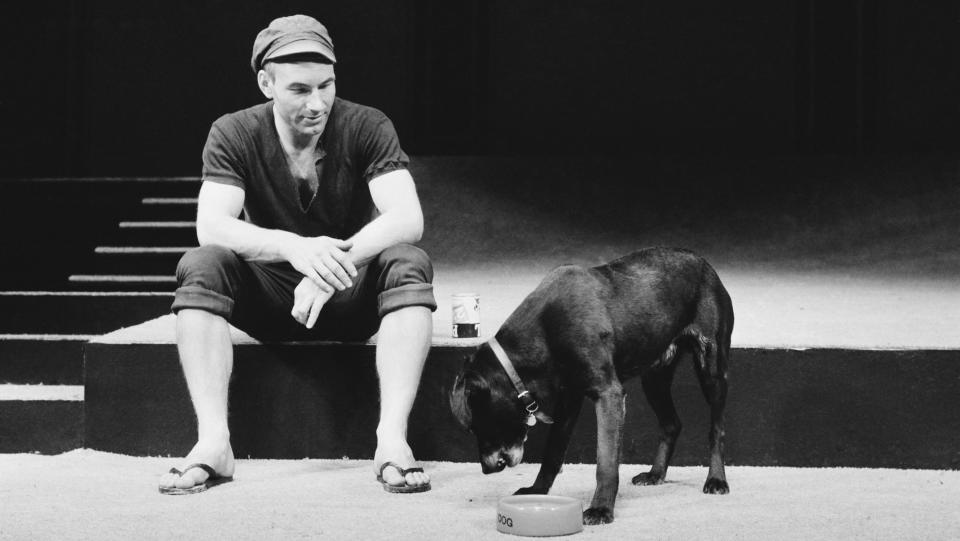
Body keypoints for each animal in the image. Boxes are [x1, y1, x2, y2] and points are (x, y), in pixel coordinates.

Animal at [450, 248, 736, 524]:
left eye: (476, 426)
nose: (486, 469)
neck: (545, 332)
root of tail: (706, 265)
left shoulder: (609, 394)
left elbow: (605, 463)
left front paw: (600, 509)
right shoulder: (568, 401)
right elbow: (552, 452)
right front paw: (537, 490)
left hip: (711, 368)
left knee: (717, 430)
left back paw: (716, 479)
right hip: (654, 377)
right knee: (671, 424)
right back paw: (656, 474)